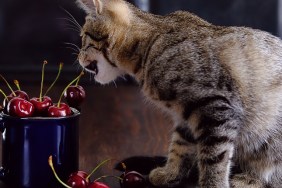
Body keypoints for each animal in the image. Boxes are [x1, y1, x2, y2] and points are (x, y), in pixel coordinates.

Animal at [76, 0, 282, 187]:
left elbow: (213, 158)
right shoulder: (186, 117)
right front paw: (170, 174)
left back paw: (250, 179)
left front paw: (212, 184)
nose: (78, 58)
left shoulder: (215, 109)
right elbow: (179, 148)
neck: (151, 45)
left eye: (84, 37)